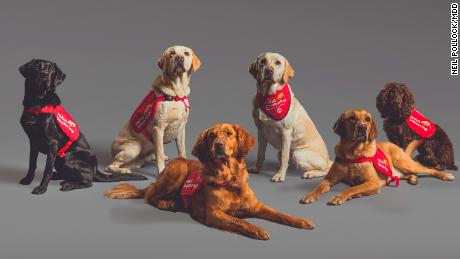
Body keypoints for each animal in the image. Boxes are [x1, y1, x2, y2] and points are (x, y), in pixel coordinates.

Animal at [104, 124, 314, 242]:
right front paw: (259, 229)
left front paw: (301, 221)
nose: (218, 145)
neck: (230, 179)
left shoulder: (257, 206)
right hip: (179, 165)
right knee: (149, 196)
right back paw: (167, 203)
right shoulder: (214, 214)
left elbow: (280, 214)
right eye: (212, 135)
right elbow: (239, 221)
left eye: (228, 133)